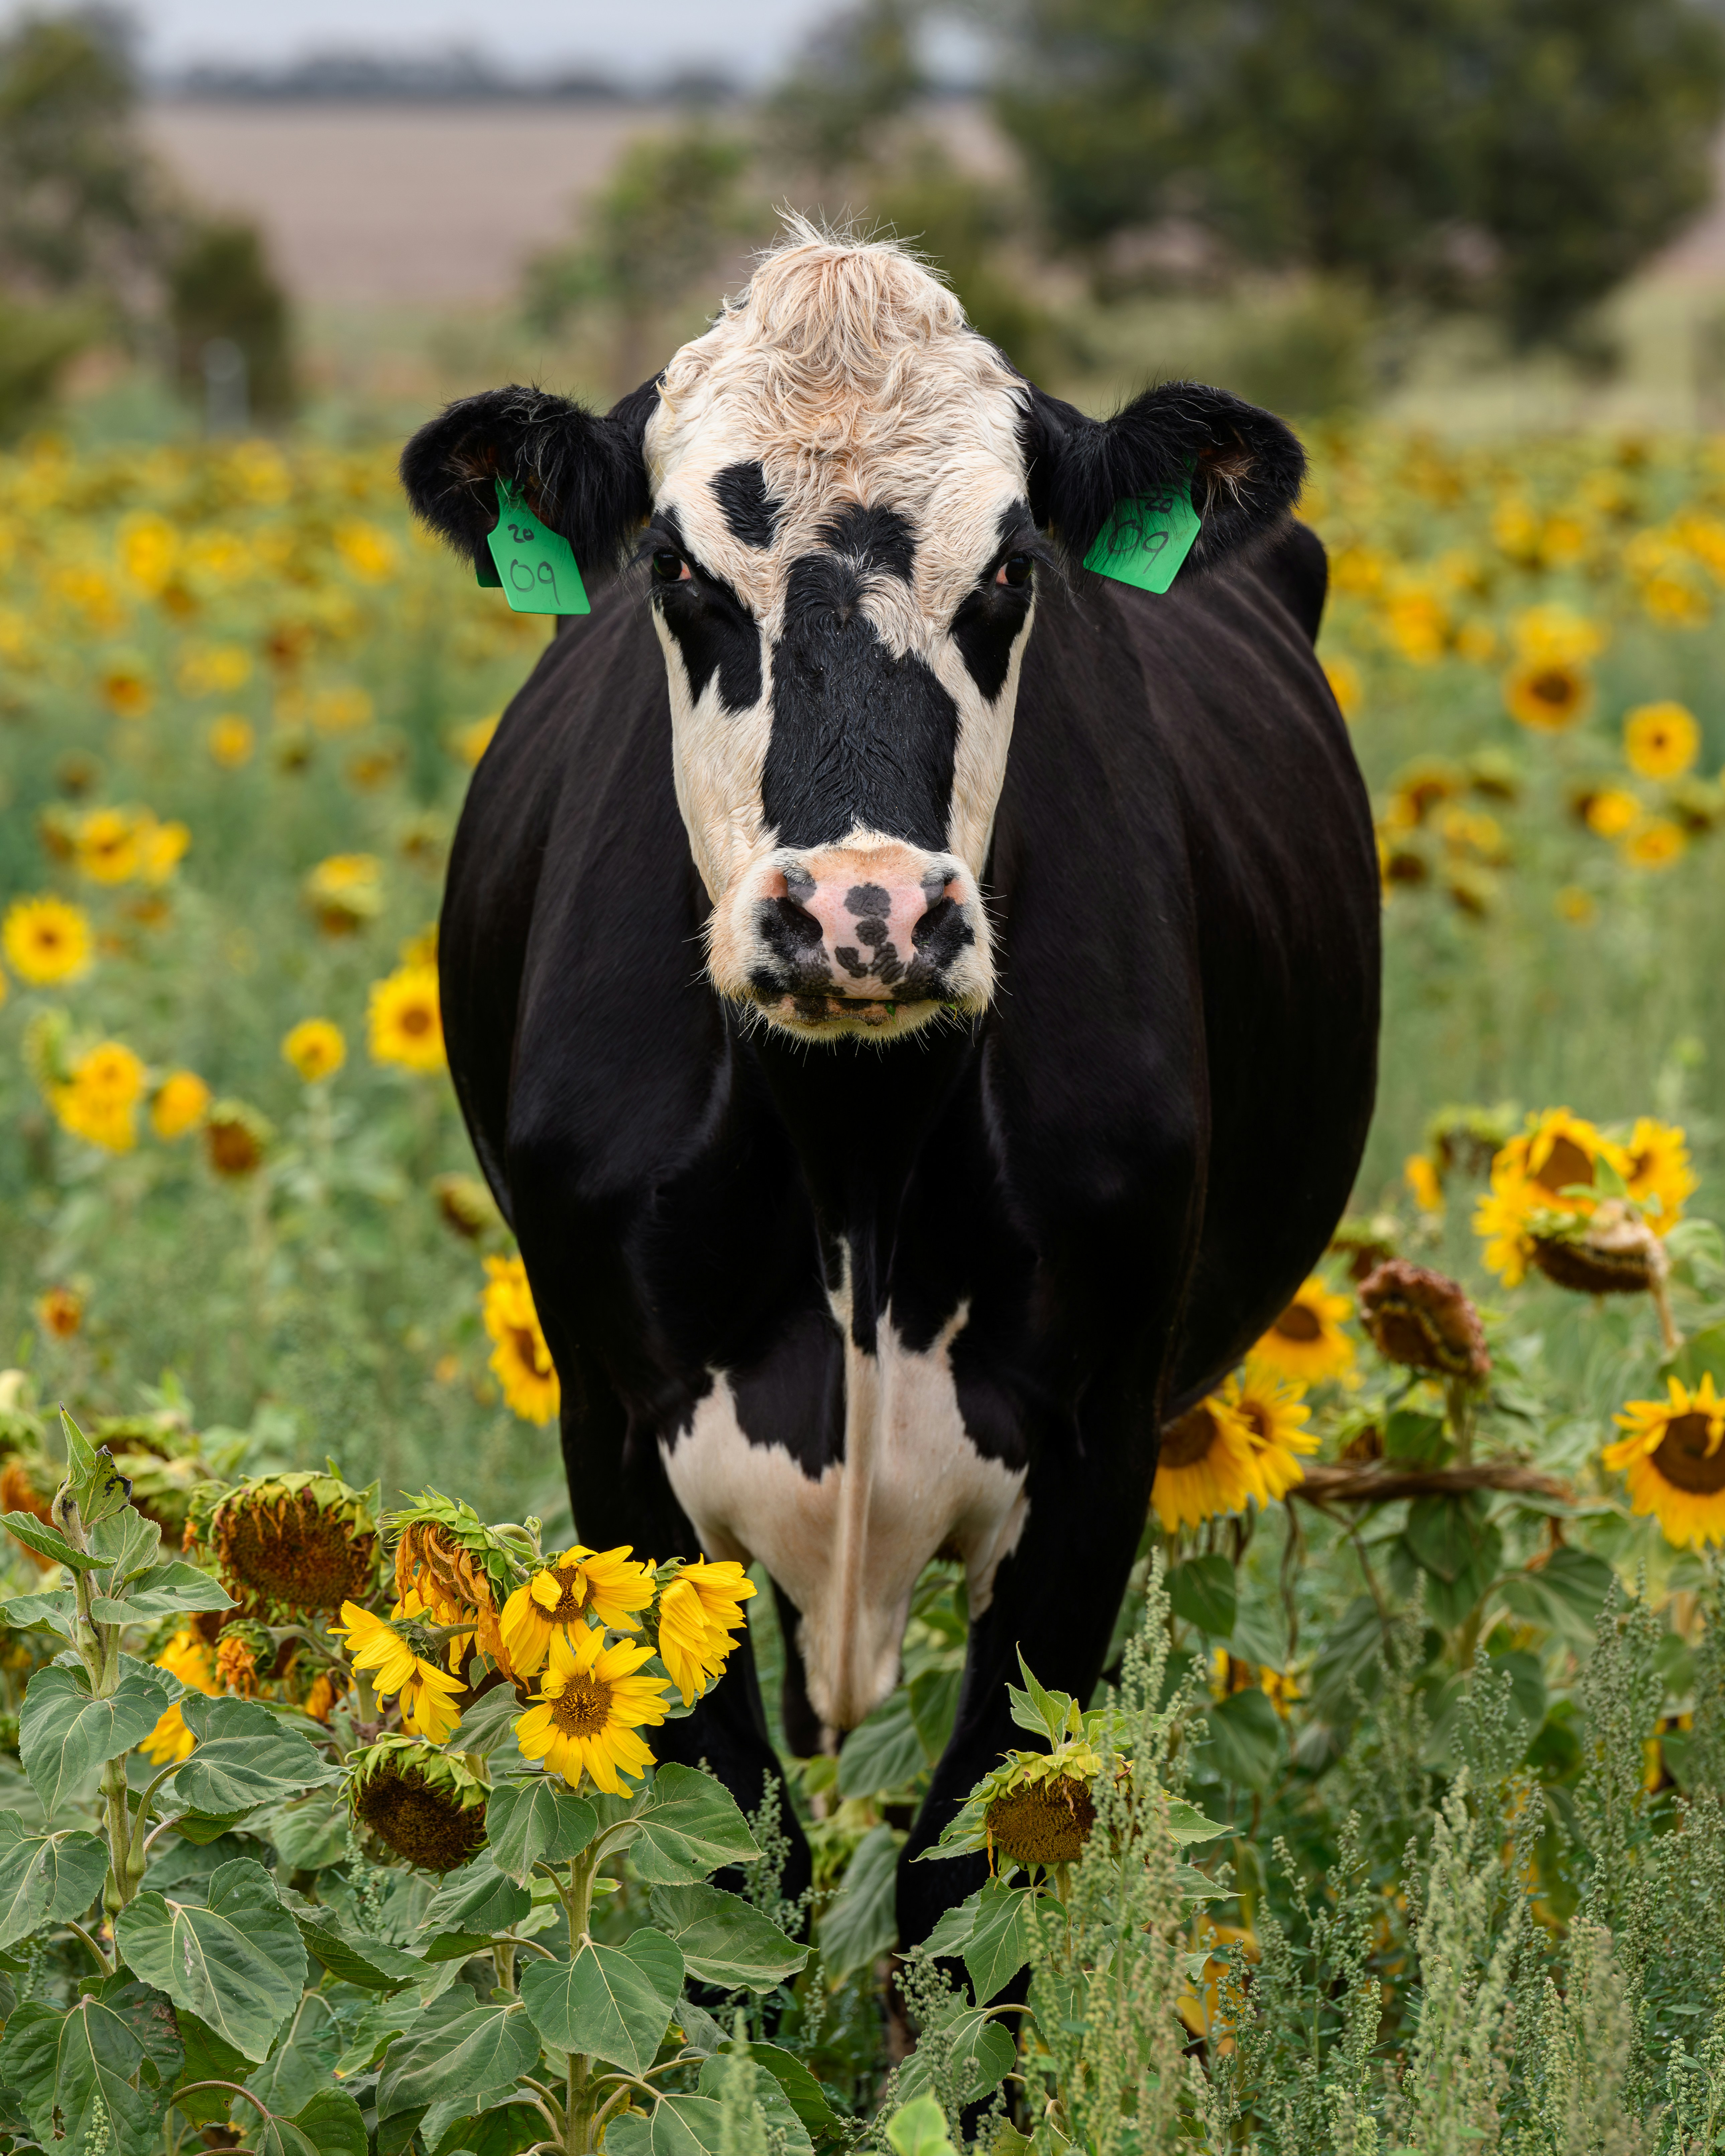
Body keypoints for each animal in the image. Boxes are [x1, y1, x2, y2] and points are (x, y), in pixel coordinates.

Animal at [400, 222, 1380, 1950]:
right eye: (678, 570)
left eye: (1009, 568)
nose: (867, 912)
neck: (851, 1150)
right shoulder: (615, 1438)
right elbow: (730, 1871)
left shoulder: (1095, 1461)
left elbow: (965, 1881)